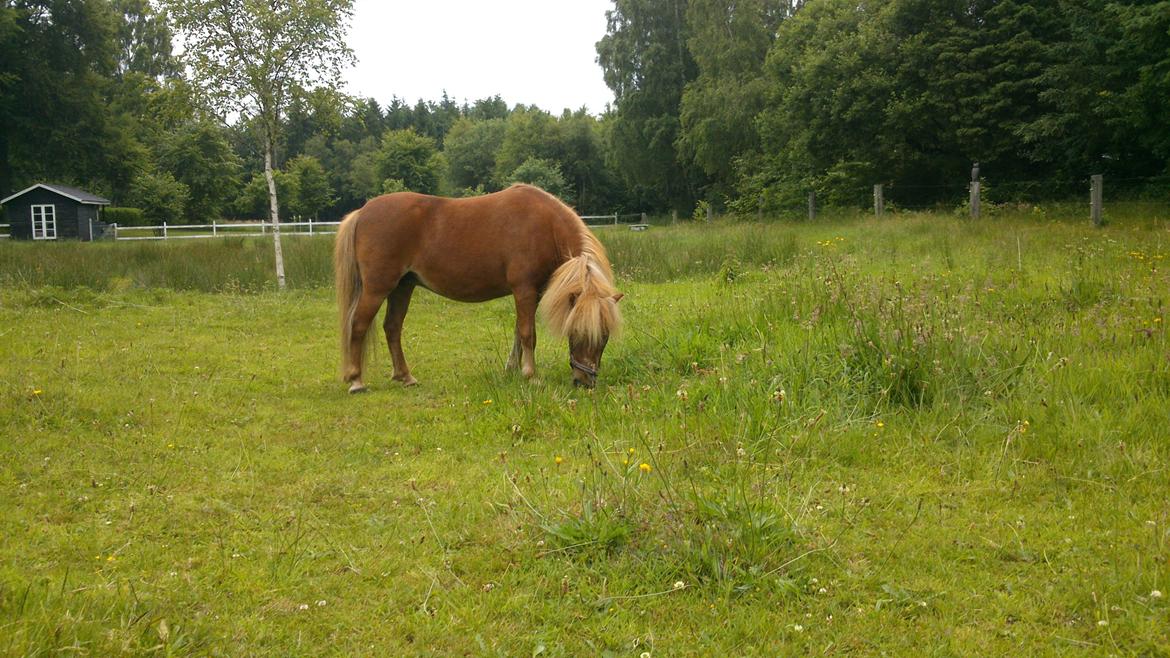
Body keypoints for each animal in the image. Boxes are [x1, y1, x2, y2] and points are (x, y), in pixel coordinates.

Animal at [334, 181, 627, 391]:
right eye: (576, 331)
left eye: (605, 337)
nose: (584, 382)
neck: (545, 226)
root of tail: (362, 212)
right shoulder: (524, 290)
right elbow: (528, 334)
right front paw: (531, 376)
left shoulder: (531, 293)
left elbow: (518, 333)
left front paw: (512, 368)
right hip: (377, 288)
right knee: (358, 325)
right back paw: (356, 380)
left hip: (403, 287)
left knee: (392, 328)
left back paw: (405, 377)